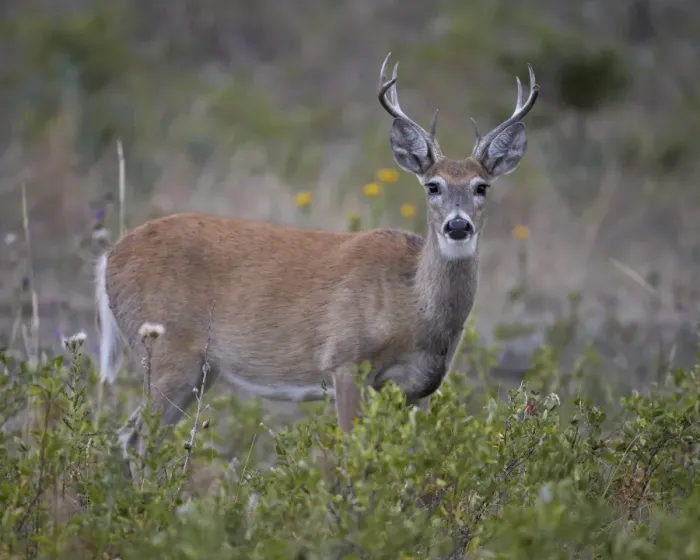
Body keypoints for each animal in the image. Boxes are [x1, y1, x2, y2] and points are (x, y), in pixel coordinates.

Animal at [95, 53, 539, 473]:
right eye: (433, 185)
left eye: (481, 186)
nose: (458, 224)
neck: (412, 305)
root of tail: (107, 258)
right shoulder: (345, 361)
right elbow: (354, 458)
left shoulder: (419, 386)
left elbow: (415, 461)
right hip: (166, 349)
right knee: (137, 437)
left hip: (200, 370)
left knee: (132, 435)